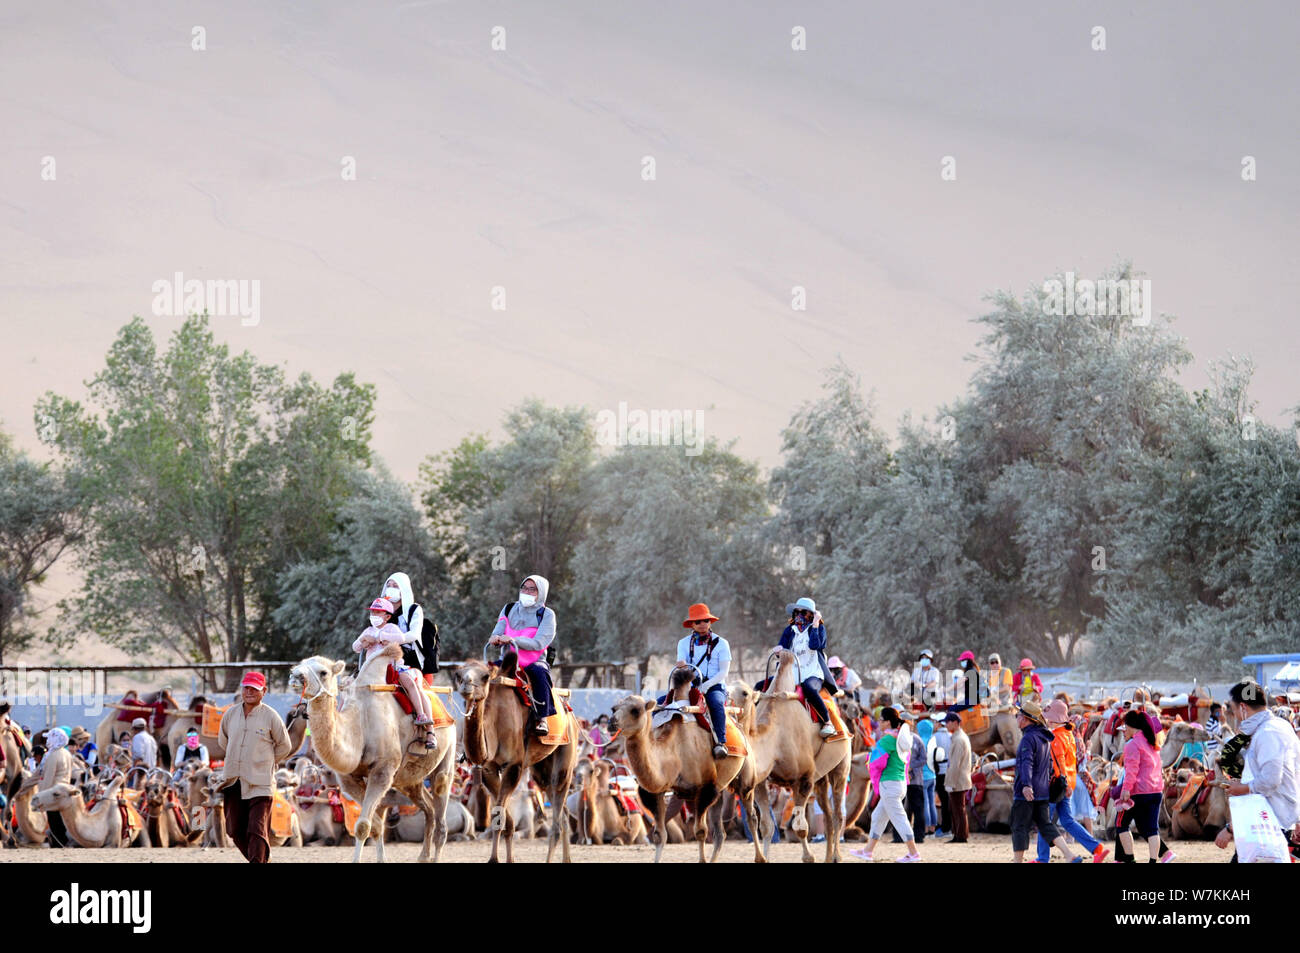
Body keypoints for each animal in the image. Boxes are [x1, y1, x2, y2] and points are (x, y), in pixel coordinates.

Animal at [291, 647, 462, 863]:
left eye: (324, 672)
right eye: (300, 664)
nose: (295, 675)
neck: (360, 727)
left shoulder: (383, 770)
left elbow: (363, 826)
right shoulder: (348, 779)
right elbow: (376, 824)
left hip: (446, 757)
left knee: (441, 814)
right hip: (408, 780)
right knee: (429, 809)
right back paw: (423, 857)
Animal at [454, 650, 582, 868]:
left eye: (485, 676)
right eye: (458, 675)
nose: (466, 686)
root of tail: (568, 711)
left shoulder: (514, 765)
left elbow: (500, 814)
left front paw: (495, 859)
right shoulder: (489, 768)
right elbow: (502, 817)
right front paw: (505, 859)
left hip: (566, 758)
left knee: (557, 819)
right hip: (541, 770)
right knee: (563, 813)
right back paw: (567, 859)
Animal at [733, 647, 852, 863]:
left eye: (744, 693)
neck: (775, 741)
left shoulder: (803, 779)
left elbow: (801, 827)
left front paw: (809, 857)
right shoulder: (761, 782)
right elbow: (767, 826)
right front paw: (764, 857)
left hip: (841, 766)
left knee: (838, 814)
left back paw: (837, 856)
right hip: (820, 778)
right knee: (828, 816)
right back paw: (828, 857)